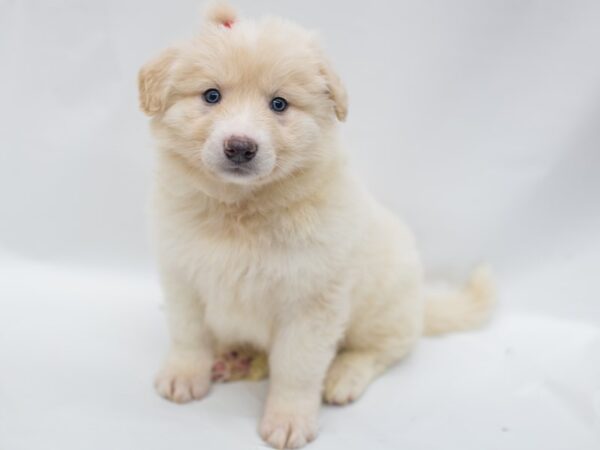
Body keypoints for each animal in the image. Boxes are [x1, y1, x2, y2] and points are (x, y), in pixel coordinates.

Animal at [138, 4, 494, 450]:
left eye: (279, 104)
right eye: (211, 96)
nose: (240, 147)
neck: (242, 208)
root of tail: (421, 302)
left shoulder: (311, 301)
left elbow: (297, 368)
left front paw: (288, 420)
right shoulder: (183, 276)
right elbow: (188, 334)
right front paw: (185, 375)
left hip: (383, 308)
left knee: (381, 350)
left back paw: (343, 377)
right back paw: (234, 357)